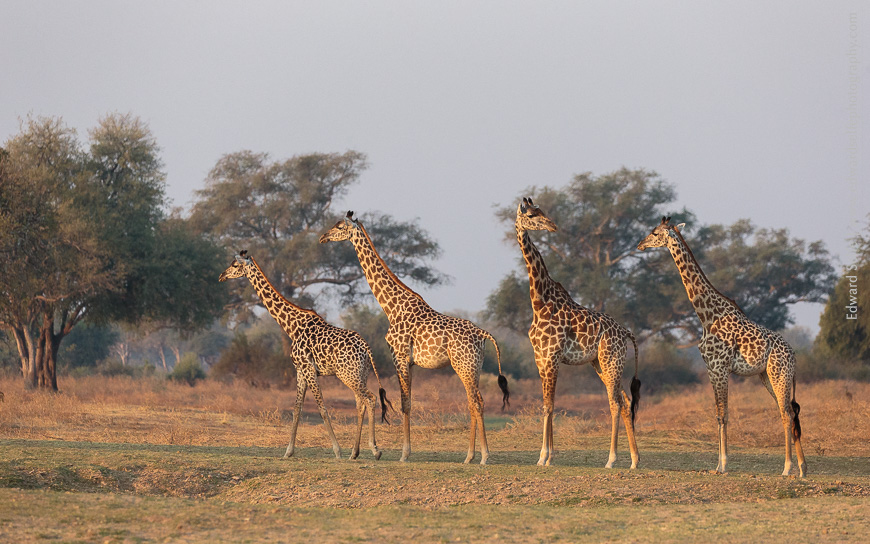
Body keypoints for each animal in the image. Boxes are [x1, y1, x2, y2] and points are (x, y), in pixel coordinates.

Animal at [219, 251, 392, 461]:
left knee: (370, 399)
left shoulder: (308, 368)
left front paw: (337, 451)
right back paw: (354, 453)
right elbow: (296, 410)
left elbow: (322, 408)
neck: (291, 327)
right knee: (361, 403)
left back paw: (375, 450)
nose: (221, 276)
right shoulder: (300, 370)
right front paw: (288, 451)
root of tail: (367, 348)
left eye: (235, 265)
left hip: (348, 375)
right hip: (360, 374)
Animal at [320, 212, 510, 465]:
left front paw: (404, 454)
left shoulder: (399, 357)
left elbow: (405, 404)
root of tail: (483, 334)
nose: (322, 237)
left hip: (465, 365)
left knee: (476, 402)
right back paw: (469, 456)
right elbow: (408, 402)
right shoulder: (410, 362)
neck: (391, 307)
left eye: (340, 226)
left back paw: (483, 456)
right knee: (473, 402)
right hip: (473, 367)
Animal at [515, 198, 640, 468]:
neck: (539, 302)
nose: (552, 226)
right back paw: (635, 460)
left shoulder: (552, 357)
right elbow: (548, 404)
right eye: (531, 214)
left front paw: (544, 456)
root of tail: (626, 332)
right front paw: (549, 456)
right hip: (601, 364)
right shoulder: (540, 358)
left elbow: (549, 405)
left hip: (611, 360)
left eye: (541, 212)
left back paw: (611, 459)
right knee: (625, 402)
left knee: (615, 403)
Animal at [637, 217, 806, 477]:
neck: (707, 316)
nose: (640, 244)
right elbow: (717, 415)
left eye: (655, 233)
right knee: (789, 411)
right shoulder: (710, 369)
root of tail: (794, 356)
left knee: (787, 413)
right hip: (767, 376)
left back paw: (787, 468)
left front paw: (724, 464)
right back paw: (802, 468)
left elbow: (724, 415)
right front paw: (717, 465)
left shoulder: (720, 368)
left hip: (779, 374)